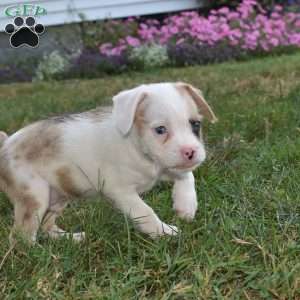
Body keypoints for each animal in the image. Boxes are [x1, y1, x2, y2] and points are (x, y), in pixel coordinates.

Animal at [0, 82, 217, 244]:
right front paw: (165, 232)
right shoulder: (121, 192)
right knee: (21, 238)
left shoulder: (166, 166)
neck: (135, 144)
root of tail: (6, 143)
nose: (190, 152)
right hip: (35, 198)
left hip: (57, 198)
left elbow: (187, 175)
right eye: (160, 130)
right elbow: (145, 212)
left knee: (46, 226)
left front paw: (186, 206)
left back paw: (71, 239)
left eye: (196, 124)